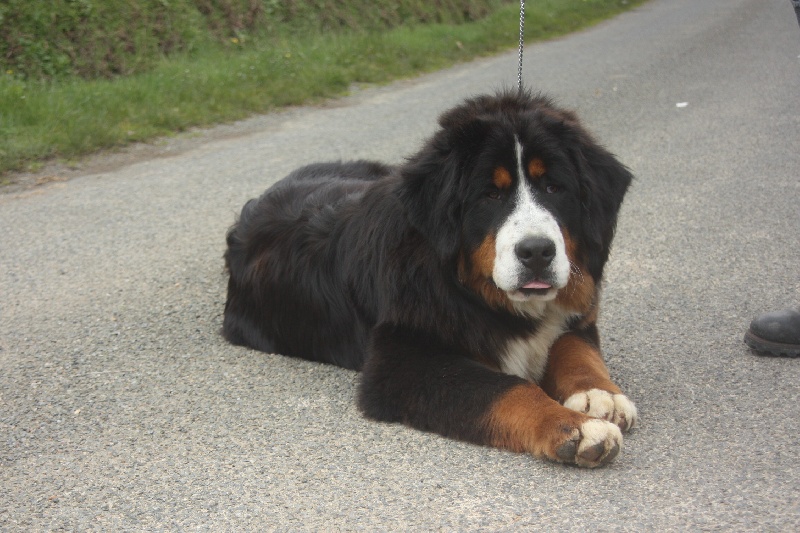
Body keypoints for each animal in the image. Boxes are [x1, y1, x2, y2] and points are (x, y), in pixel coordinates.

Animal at [223, 90, 637, 467]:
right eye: (490, 195)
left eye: (554, 187)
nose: (536, 252)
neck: (469, 288)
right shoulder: (400, 361)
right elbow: (507, 388)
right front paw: (575, 427)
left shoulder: (575, 315)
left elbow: (575, 349)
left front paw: (598, 395)